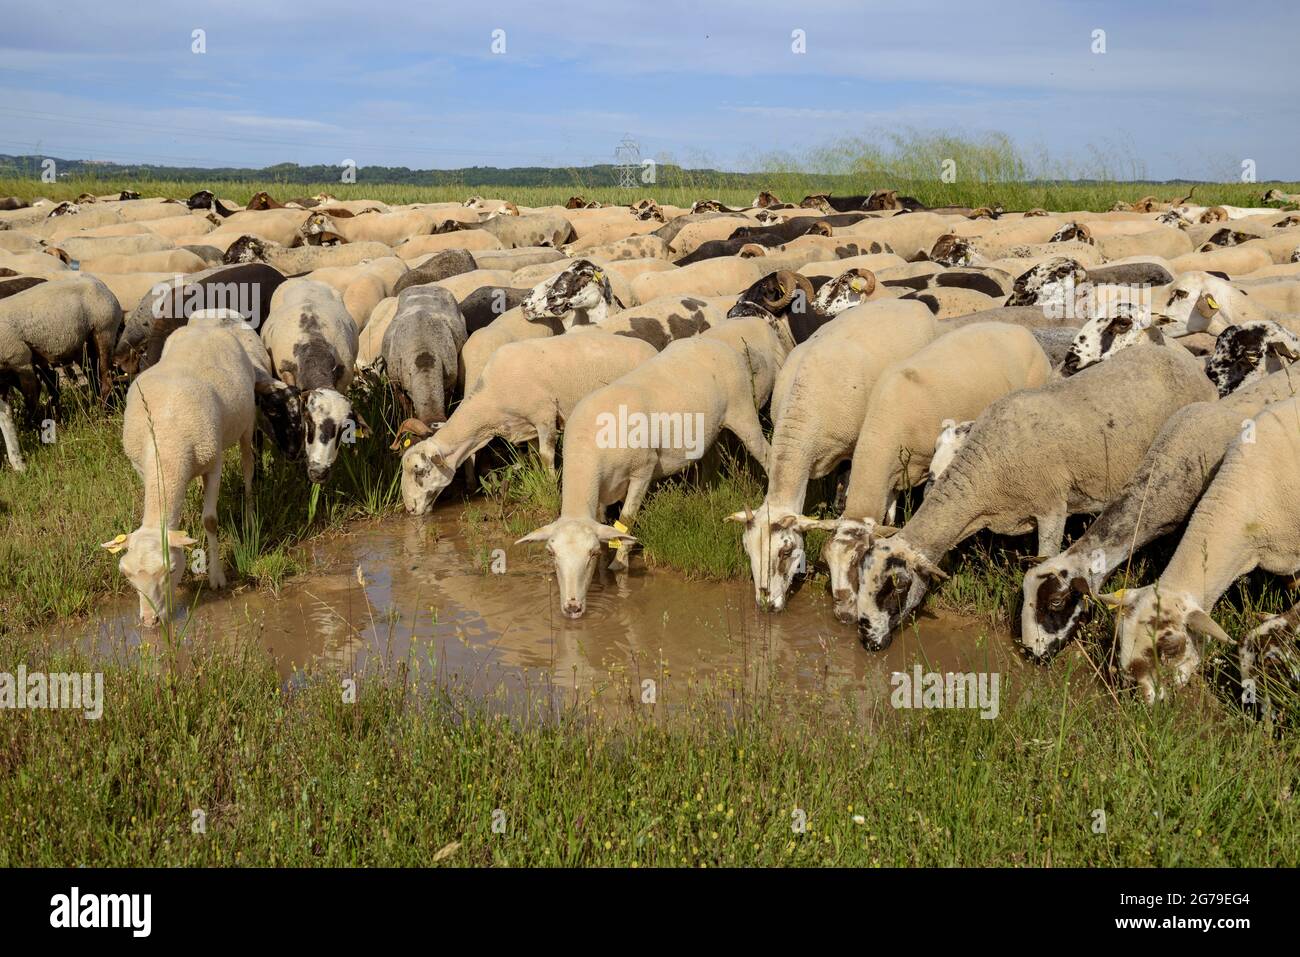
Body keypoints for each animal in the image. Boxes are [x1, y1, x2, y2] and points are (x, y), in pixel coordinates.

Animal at [514, 335, 769, 621]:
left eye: (590, 554)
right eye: (551, 554)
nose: (572, 608)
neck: (586, 452)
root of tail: (715, 343)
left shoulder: (642, 471)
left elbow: (626, 519)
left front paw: (618, 564)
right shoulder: (602, 490)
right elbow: (605, 523)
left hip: (743, 412)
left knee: (768, 455)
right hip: (709, 430)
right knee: (711, 460)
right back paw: (703, 494)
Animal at [816, 321, 1050, 621]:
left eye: (858, 565)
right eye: (828, 562)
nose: (843, 614)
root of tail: (1016, 327)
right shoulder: (892, 476)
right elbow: (889, 519)